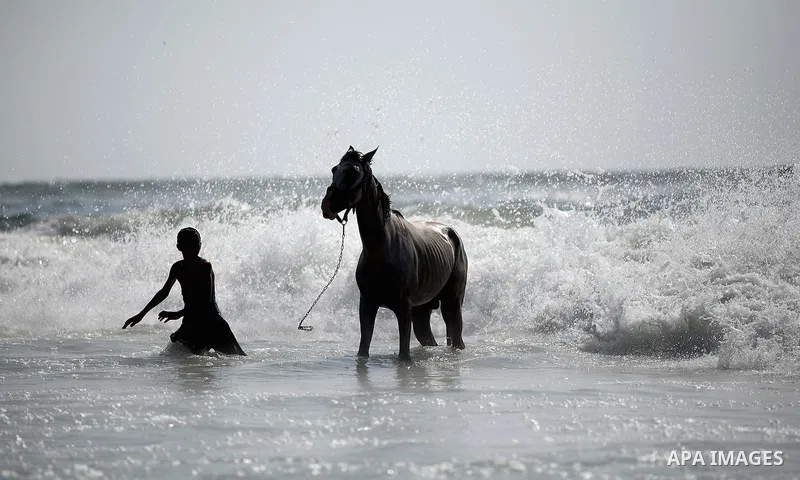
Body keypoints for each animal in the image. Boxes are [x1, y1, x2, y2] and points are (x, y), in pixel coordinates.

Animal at [320, 146, 468, 361]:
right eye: (334, 170)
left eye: (353, 172)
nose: (327, 206)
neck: (382, 249)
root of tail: (451, 232)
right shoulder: (367, 305)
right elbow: (363, 349)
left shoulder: (403, 309)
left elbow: (403, 354)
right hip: (422, 310)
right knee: (428, 338)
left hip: (452, 304)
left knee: (456, 335)